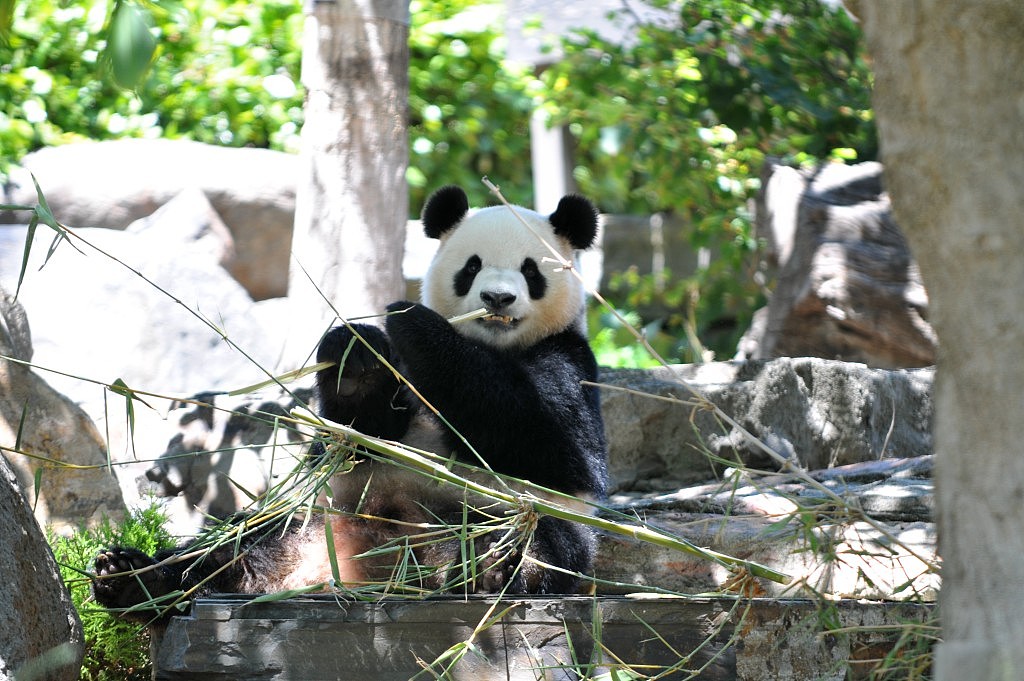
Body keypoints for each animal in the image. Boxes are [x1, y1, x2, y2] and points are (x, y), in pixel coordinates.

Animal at [92, 184, 606, 614]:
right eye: (472, 266)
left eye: (530, 270)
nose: (497, 298)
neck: (491, 344)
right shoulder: (393, 403)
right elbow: (357, 436)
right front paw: (355, 354)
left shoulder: (571, 360)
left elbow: (548, 440)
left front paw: (417, 324)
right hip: (305, 518)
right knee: (228, 547)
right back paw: (130, 577)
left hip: (516, 517)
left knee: (531, 541)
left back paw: (490, 566)